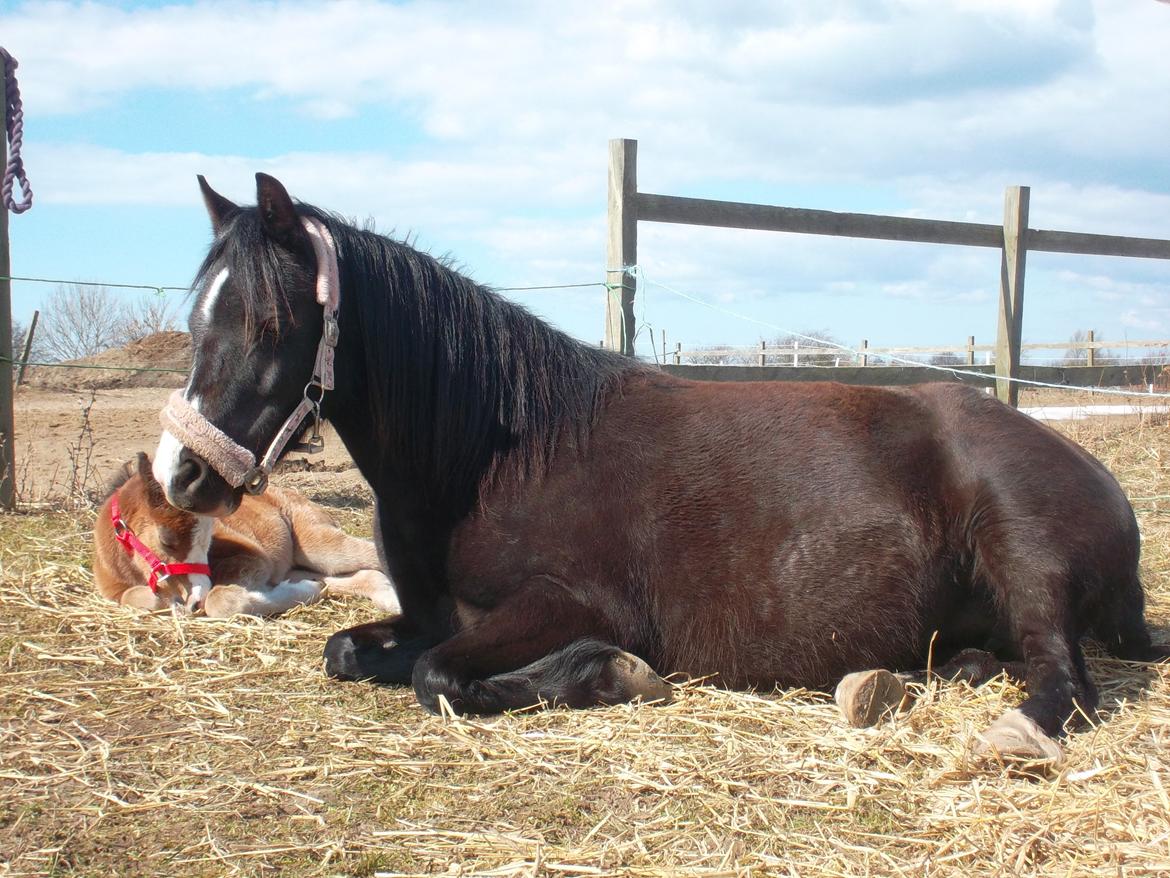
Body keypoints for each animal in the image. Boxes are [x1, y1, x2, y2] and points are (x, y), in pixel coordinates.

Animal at [153, 173, 1160, 763]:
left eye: (270, 323)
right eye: (197, 316)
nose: (181, 477)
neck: (496, 461)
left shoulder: (568, 605)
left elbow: (440, 678)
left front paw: (607, 675)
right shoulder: (431, 613)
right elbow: (348, 652)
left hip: (1024, 555)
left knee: (1066, 679)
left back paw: (1013, 729)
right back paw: (900, 682)